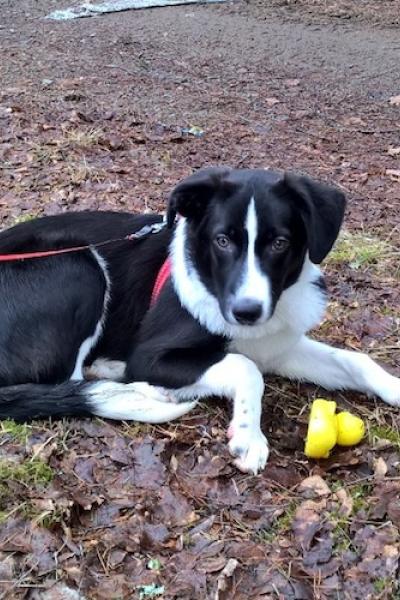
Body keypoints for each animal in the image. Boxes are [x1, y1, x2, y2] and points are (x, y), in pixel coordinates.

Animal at [1, 167, 399, 474]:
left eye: (280, 243)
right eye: (222, 240)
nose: (247, 311)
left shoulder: (279, 346)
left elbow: (354, 359)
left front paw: (393, 386)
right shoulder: (151, 355)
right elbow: (244, 367)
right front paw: (248, 434)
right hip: (78, 264)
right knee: (68, 378)